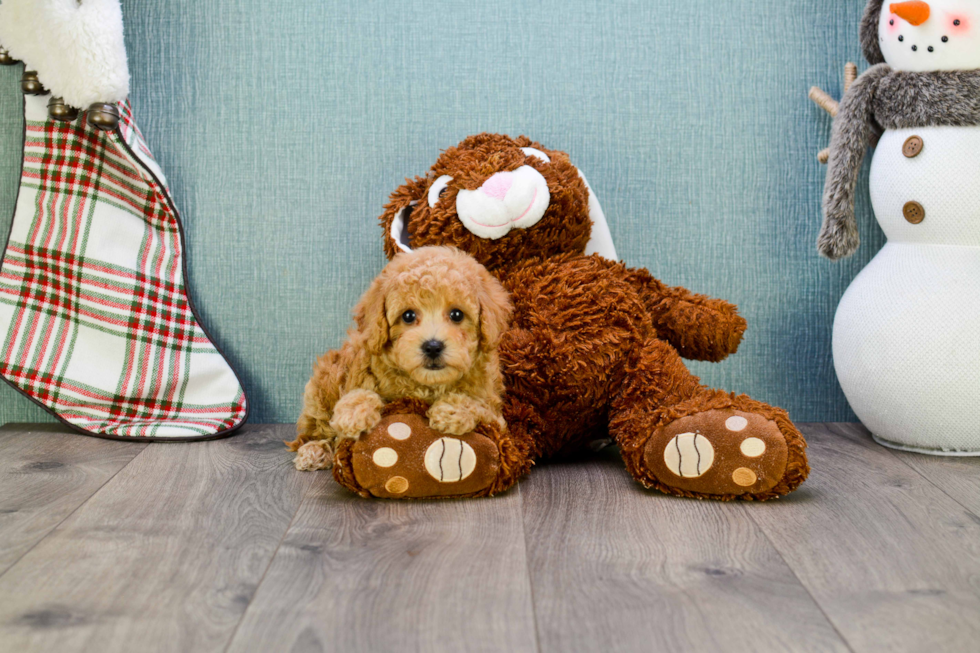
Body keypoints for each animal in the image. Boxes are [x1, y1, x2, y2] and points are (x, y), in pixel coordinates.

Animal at [286, 246, 510, 468]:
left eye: (457, 315)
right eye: (408, 316)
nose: (433, 346)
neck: (427, 385)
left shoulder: (497, 417)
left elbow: (479, 407)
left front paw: (451, 410)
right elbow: (361, 394)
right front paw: (353, 413)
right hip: (324, 383)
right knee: (316, 428)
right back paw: (315, 450)